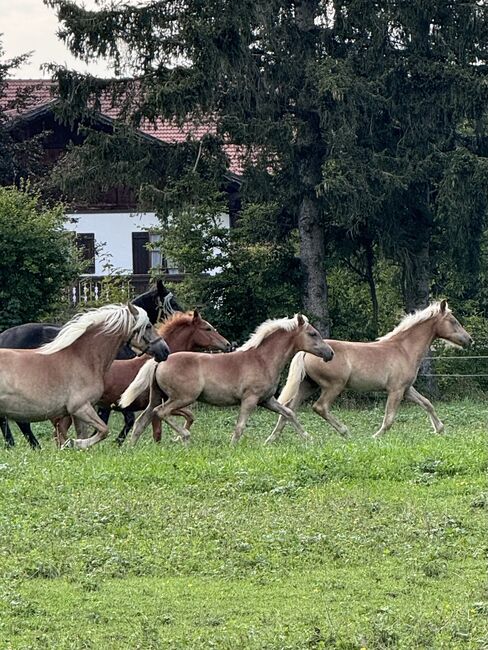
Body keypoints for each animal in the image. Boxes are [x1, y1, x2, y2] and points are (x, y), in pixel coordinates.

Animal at [0, 276, 181, 448]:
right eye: (148, 326)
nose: (165, 350)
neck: (82, 358)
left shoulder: (79, 412)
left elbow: (85, 432)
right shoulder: (82, 407)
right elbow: (104, 430)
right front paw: (74, 443)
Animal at [55, 310, 231, 446]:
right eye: (207, 329)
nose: (228, 344)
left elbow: (189, 416)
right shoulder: (159, 403)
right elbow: (158, 431)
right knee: (61, 428)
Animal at [120, 312, 336, 442]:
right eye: (313, 333)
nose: (330, 353)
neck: (262, 359)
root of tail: (159, 361)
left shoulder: (267, 400)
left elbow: (289, 413)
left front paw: (308, 438)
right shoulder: (250, 400)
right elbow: (240, 426)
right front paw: (233, 446)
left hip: (157, 396)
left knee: (142, 421)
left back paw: (132, 448)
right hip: (182, 398)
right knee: (161, 413)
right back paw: (185, 436)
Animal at [266, 298, 472, 440]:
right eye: (453, 321)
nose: (469, 340)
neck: (404, 349)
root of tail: (305, 352)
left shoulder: (406, 389)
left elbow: (427, 403)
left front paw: (439, 429)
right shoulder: (396, 390)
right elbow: (389, 419)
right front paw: (375, 437)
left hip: (308, 385)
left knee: (289, 409)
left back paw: (273, 439)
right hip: (333, 386)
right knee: (319, 407)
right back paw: (345, 432)